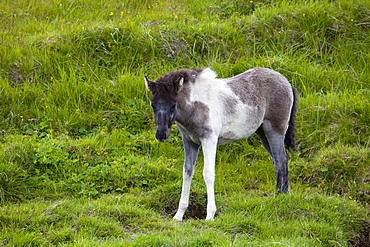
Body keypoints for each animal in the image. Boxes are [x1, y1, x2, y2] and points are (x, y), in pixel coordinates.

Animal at [145, 68, 298, 222]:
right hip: (263, 134)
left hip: (275, 131)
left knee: (281, 160)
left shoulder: (209, 139)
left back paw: (280, 197)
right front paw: (178, 215)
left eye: (173, 105)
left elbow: (208, 173)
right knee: (279, 160)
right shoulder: (189, 141)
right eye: (153, 105)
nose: (161, 135)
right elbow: (187, 172)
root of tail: (286, 82)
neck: (196, 106)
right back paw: (282, 195)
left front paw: (210, 215)